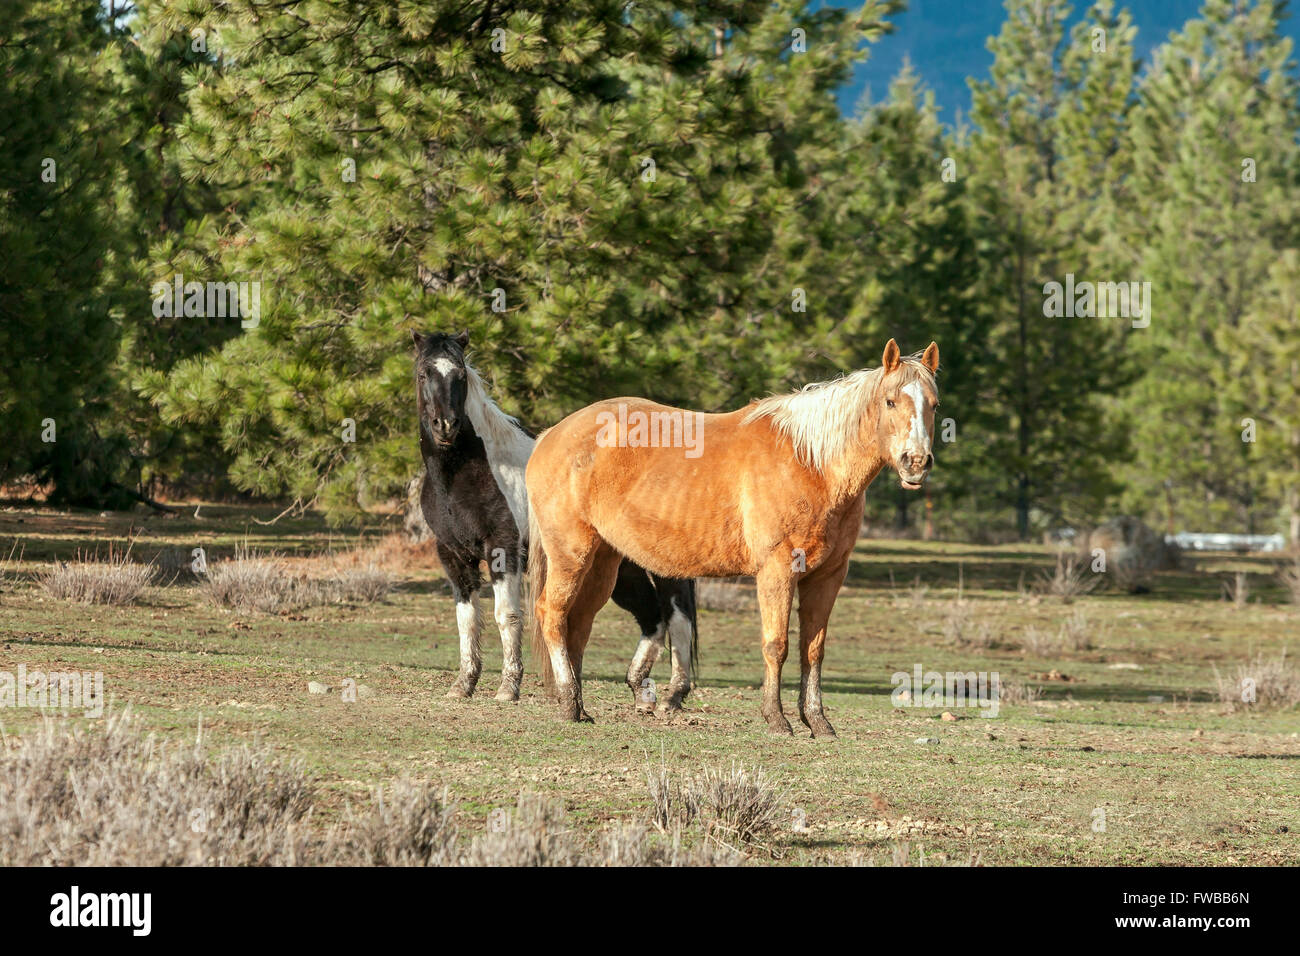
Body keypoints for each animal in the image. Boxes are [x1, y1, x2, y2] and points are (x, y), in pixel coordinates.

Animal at [411, 330, 698, 709]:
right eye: (423, 374)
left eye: (460, 375)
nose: (445, 426)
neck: (470, 472)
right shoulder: (453, 555)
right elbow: (466, 619)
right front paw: (463, 685)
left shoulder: (503, 550)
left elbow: (507, 616)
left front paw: (508, 688)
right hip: (622, 569)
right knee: (652, 619)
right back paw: (640, 690)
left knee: (677, 617)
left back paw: (669, 696)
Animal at [526, 338, 940, 736]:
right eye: (890, 401)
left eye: (934, 405)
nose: (916, 462)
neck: (811, 463)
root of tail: (550, 435)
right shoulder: (777, 571)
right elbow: (777, 645)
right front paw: (777, 719)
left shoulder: (828, 577)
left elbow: (813, 650)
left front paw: (818, 722)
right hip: (572, 555)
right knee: (552, 614)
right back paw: (568, 702)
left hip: (604, 563)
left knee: (578, 623)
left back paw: (580, 707)